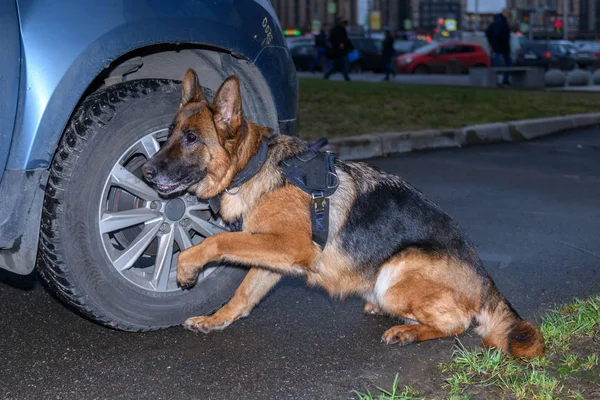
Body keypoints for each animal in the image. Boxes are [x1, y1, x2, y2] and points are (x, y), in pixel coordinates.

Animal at [143, 69, 548, 360]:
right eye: (169, 134)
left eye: (192, 138)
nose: (146, 171)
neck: (253, 167)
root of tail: (484, 278)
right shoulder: (273, 255)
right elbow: (243, 294)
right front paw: (216, 320)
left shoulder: (289, 246)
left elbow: (219, 240)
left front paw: (187, 266)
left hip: (395, 271)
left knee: (459, 323)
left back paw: (407, 331)